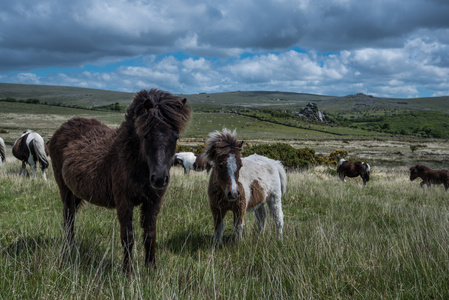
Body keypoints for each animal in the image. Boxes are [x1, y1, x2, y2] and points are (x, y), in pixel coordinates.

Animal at [48, 88, 191, 272]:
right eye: (145, 136)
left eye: (176, 137)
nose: (159, 179)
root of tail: (62, 129)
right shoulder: (124, 202)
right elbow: (128, 236)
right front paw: (127, 271)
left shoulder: (153, 202)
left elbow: (150, 235)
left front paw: (151, 269)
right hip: (65, 191)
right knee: (68, 217)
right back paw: (69, 248)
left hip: (76, 193)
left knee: (70, 217)